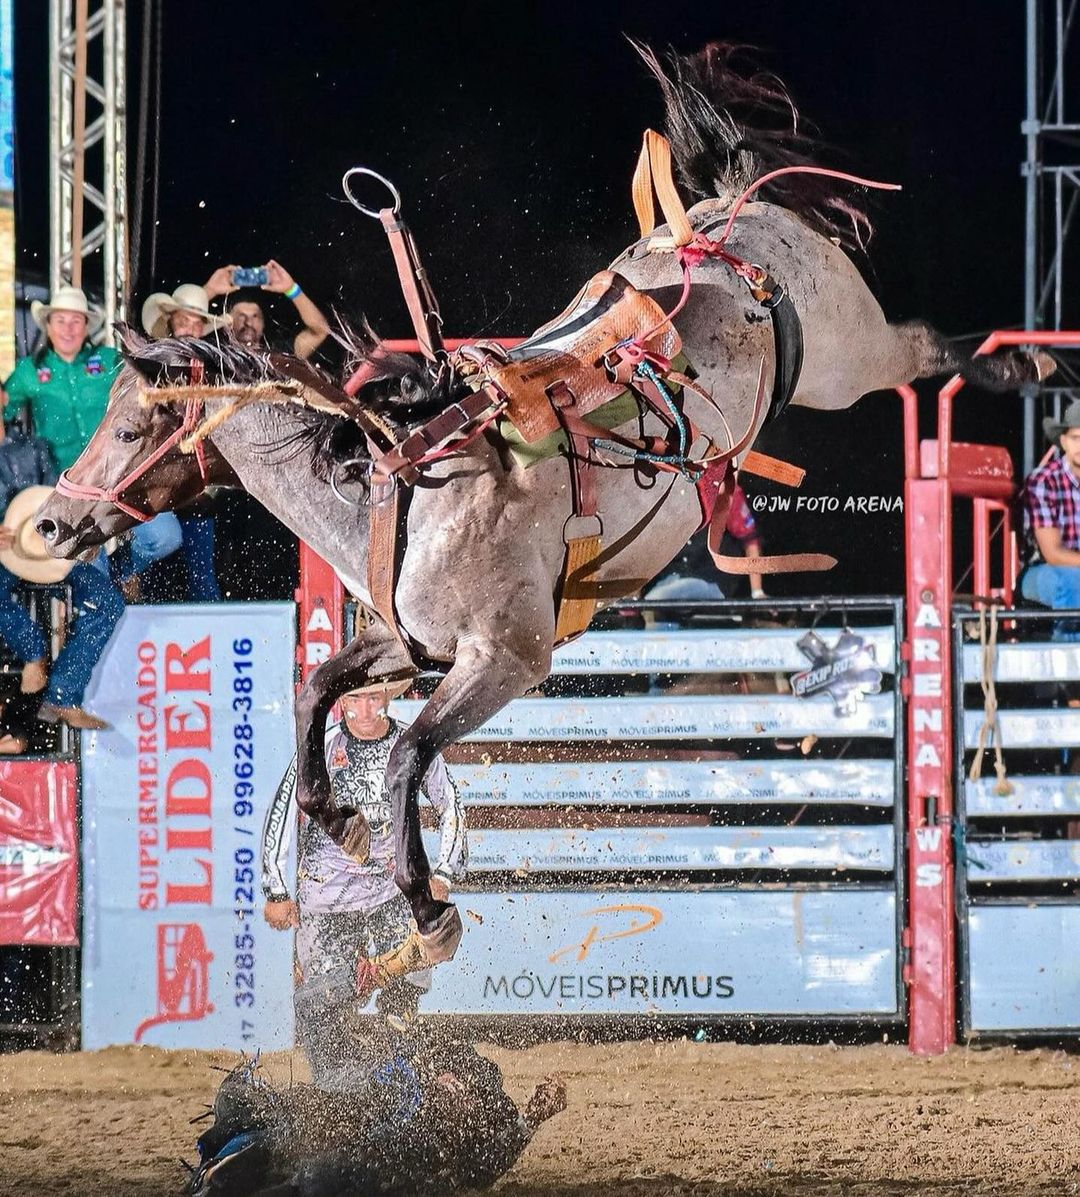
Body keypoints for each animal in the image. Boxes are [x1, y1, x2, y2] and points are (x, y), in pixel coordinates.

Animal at [35, 46, 1058, 981]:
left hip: (851, 355)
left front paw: (430, 913)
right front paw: (342, 823)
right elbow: (317, 685)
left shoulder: (507, 660)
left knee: (927, 345)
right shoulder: (408, 644)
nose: (46, 526)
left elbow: (407, 755)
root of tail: (722, 220)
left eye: (129, 424)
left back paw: (1034, 362)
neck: (410, 486)